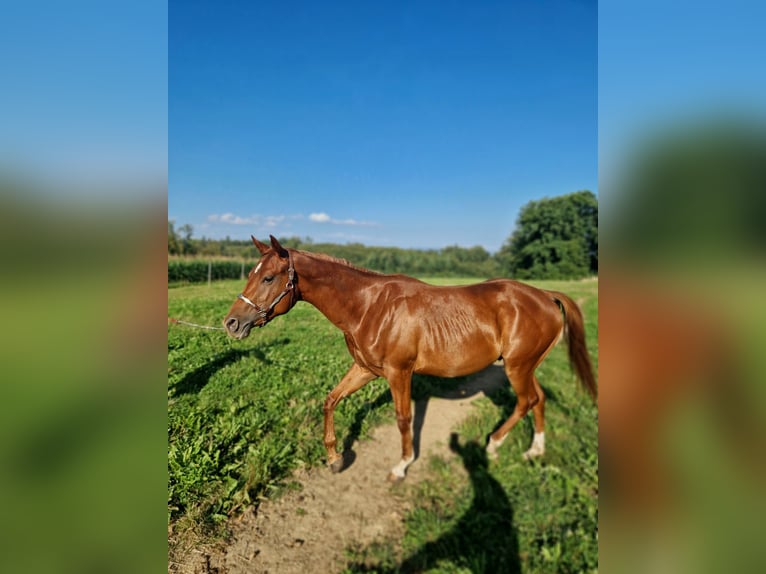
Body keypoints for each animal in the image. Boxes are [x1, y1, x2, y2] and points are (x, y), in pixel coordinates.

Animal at [224, 235, 597, 481]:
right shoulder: (365, 369)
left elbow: (404, 419)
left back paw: (494, 444)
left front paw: (402, 465)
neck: (368, 306)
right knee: (539, 399)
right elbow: (330, 400)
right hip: (526, 366)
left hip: (518, 367)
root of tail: (545, 296)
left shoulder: (398, 372)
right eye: (251, 273)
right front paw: (333, 457)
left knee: (526, 401)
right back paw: (535, 450)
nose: (232, 323)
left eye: (268, 277)